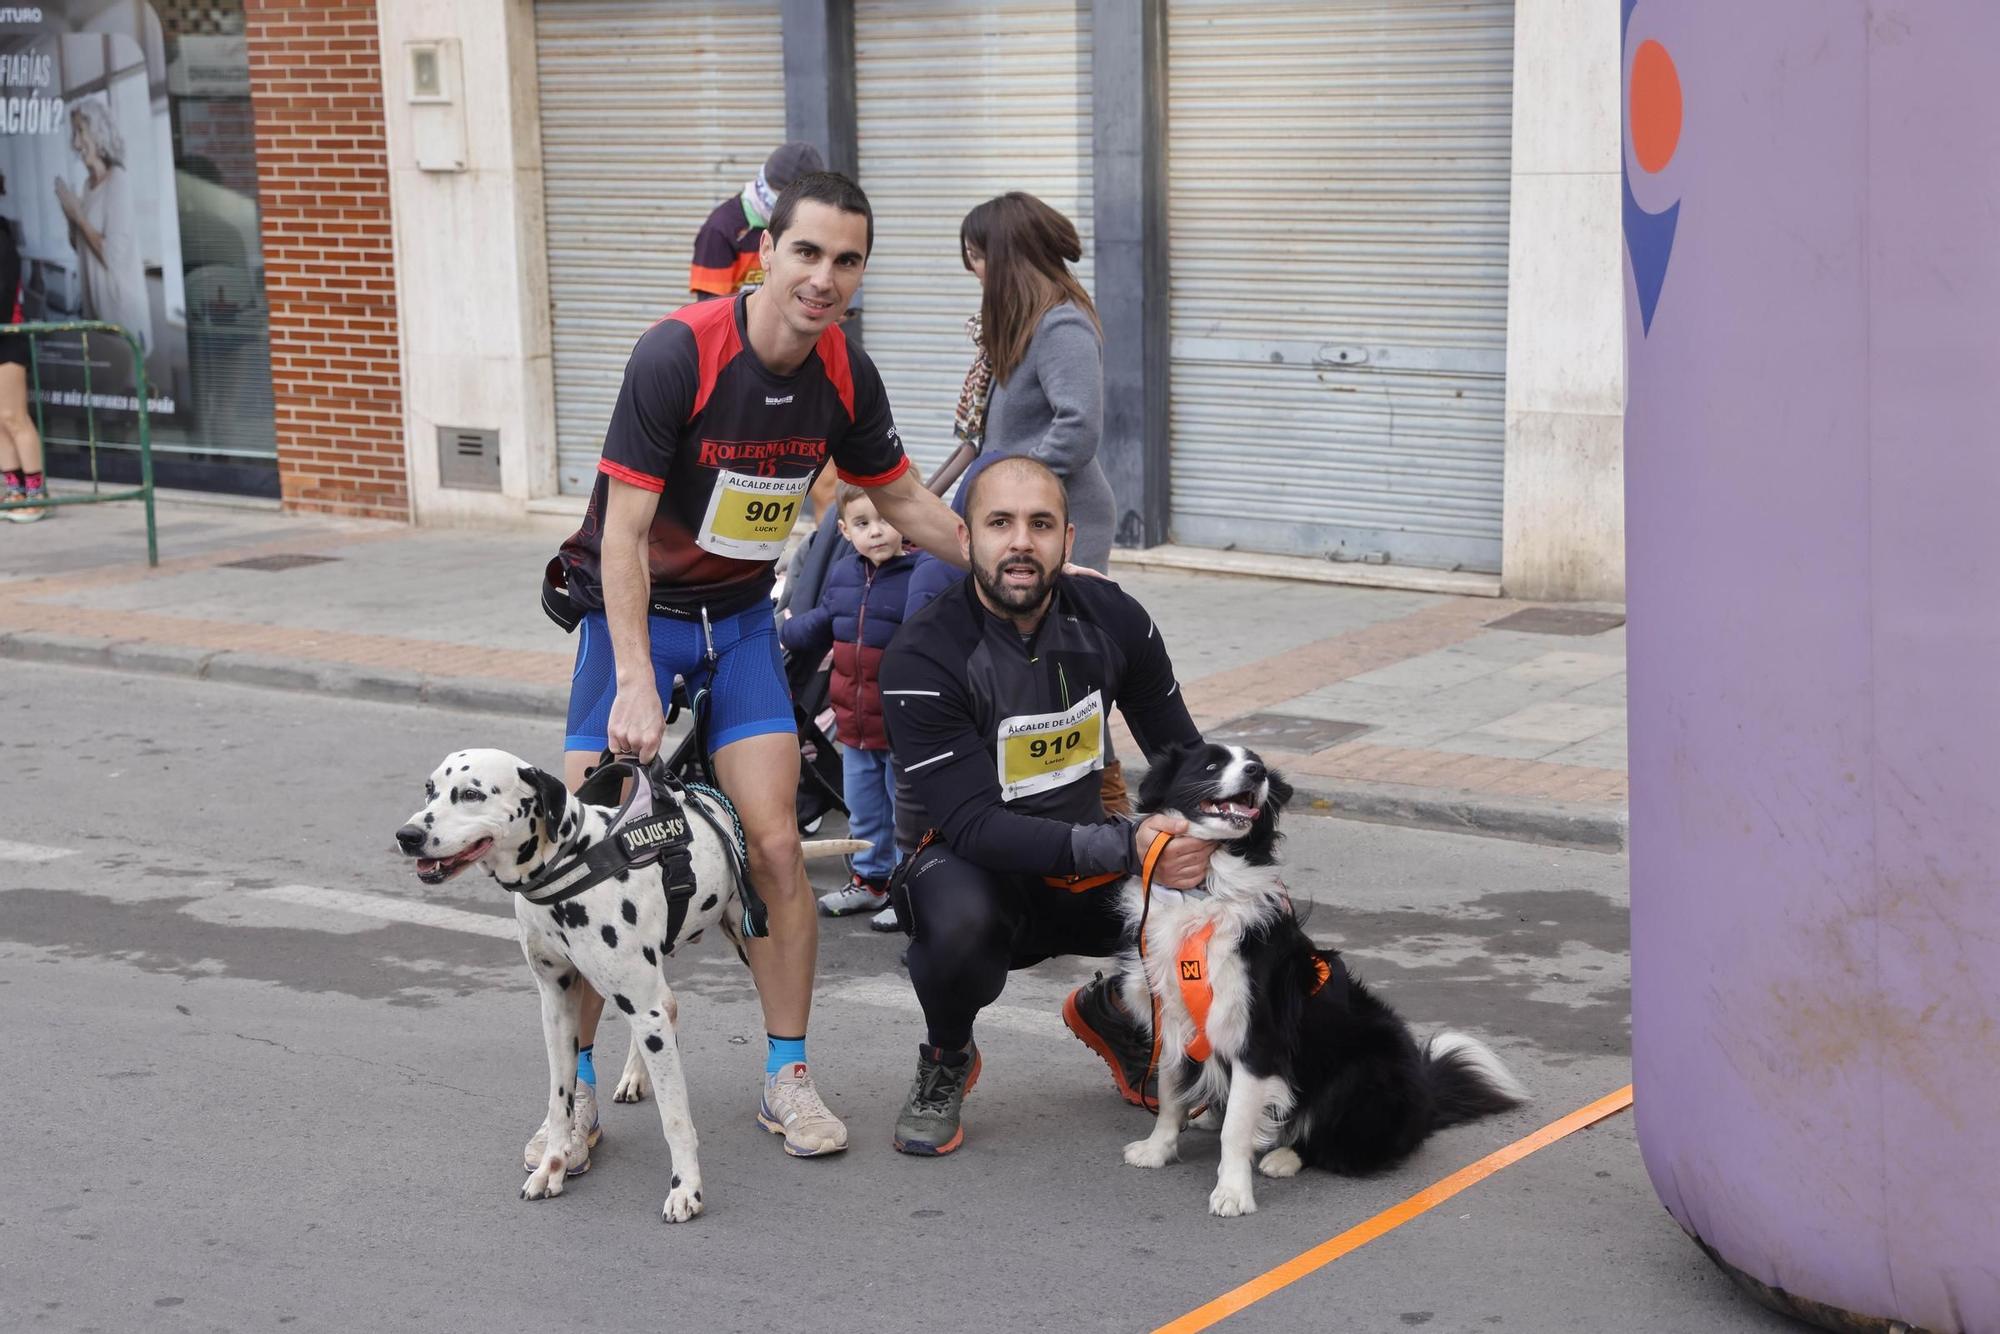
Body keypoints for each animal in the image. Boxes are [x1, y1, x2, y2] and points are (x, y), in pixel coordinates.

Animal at [390, 748, 860, 1224]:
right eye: (430, 789)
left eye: (471, 794)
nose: (407, 835)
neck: (570, 862)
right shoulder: (557, 1005)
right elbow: (560, 1100)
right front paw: (553, 1167)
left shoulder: (641, 1009)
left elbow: (675, 1119)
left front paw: (685, 1190)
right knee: (670, 1006)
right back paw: (635, 1076)